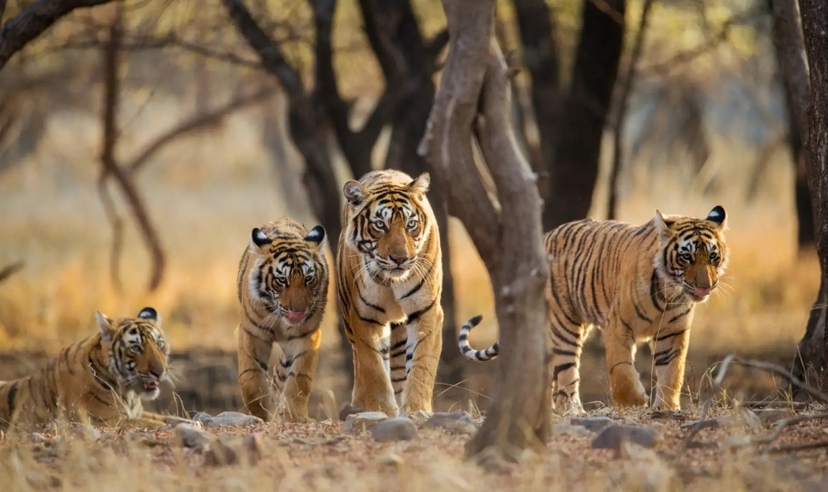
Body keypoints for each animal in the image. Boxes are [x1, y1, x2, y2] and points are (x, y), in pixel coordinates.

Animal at [0, 307, 171, 431]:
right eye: (136, 348)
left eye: (159, 344)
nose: (160, 372)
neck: (130, 394)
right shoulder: (105, 420)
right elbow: (154, 424)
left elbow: (169, 418)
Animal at [236, 217, 328, 422]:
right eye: (281, 280)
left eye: (308, 279)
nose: (299, 311)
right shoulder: (252, 333)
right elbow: (250, 378)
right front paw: (262, 414)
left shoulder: (307, 336)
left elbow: (299, 379)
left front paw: (294, 416)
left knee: (281, 375)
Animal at [336, 169, 445, 417]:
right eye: (380, 225)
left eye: (411, 224)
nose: (400, 259)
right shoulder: (365, 317)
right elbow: (374, 368)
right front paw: (382, 410)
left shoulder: (426, 310)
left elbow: (422, 364)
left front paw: (416, 410)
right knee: (360, 362)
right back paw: (358, 405)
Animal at [458, 206, 729, 413]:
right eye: (687, 257)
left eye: (713, 257)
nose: (705, 286)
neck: (669, 292)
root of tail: (545, 236)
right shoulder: (618, 326)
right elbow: (621, 370)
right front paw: (634, 402)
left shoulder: (672, 333)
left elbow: (673, 372)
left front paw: (667, 408)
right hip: (564, 324)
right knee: (567, 373)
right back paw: (573, 410)